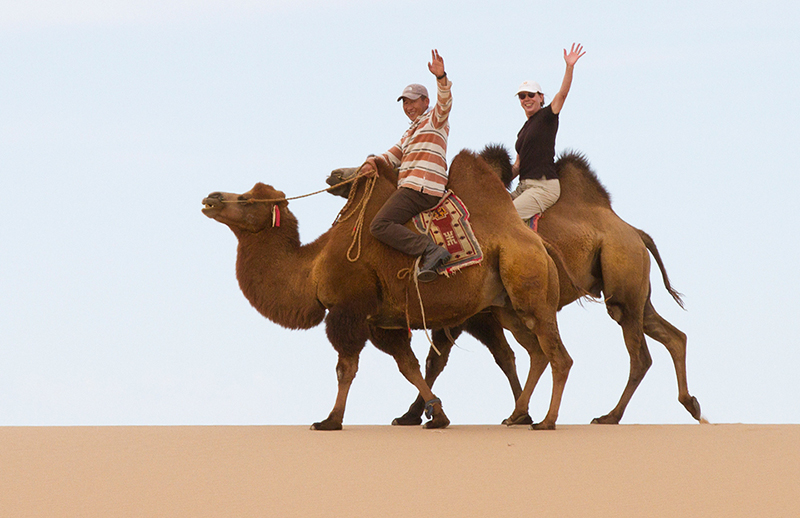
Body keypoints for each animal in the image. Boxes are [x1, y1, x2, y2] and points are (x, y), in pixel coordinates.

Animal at [202, 148, 573, 430]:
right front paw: (435, 416)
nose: (211, 197)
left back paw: (546, 421)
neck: (313, 265)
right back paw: (517, 415)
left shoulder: (348, 310)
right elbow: (408, 366)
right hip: (506, 305)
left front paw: (330, 420)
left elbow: (346, 368)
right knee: (535, 351)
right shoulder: (380, 321)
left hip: (528, 288)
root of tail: (536, 242)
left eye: (247, 200)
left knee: (557, 354)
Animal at [326, 145, 703, 425]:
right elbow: (483, 358)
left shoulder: (473, 313)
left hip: (621, 274)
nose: (335, 174)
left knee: (639, 354)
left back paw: (610, 416)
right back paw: (690, 403)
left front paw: (416, 415)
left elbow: (446, 360)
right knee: (671, 334)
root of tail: (634, 231)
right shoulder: (479, 313)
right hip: (634, 288)